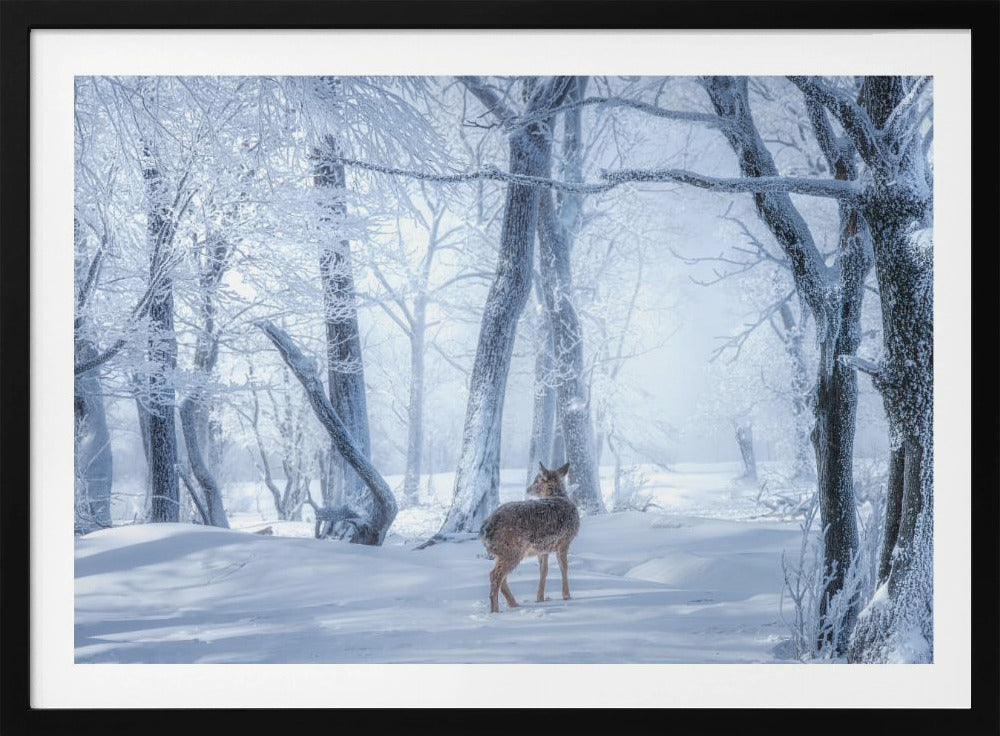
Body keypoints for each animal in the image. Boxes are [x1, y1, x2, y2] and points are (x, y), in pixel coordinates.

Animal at [479, 462, 581, 613]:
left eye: (536, 480)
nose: (528, 489)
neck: (556, 496)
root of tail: (485, 529)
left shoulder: (543, 548)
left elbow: (543, 570)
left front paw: (540, 598)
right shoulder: (564, 540)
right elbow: (564, 567)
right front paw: (567, 596)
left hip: (502, 552)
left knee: (501, 577)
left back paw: (514, 604)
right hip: (512, 549)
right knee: (495, 575)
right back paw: (495, 611)